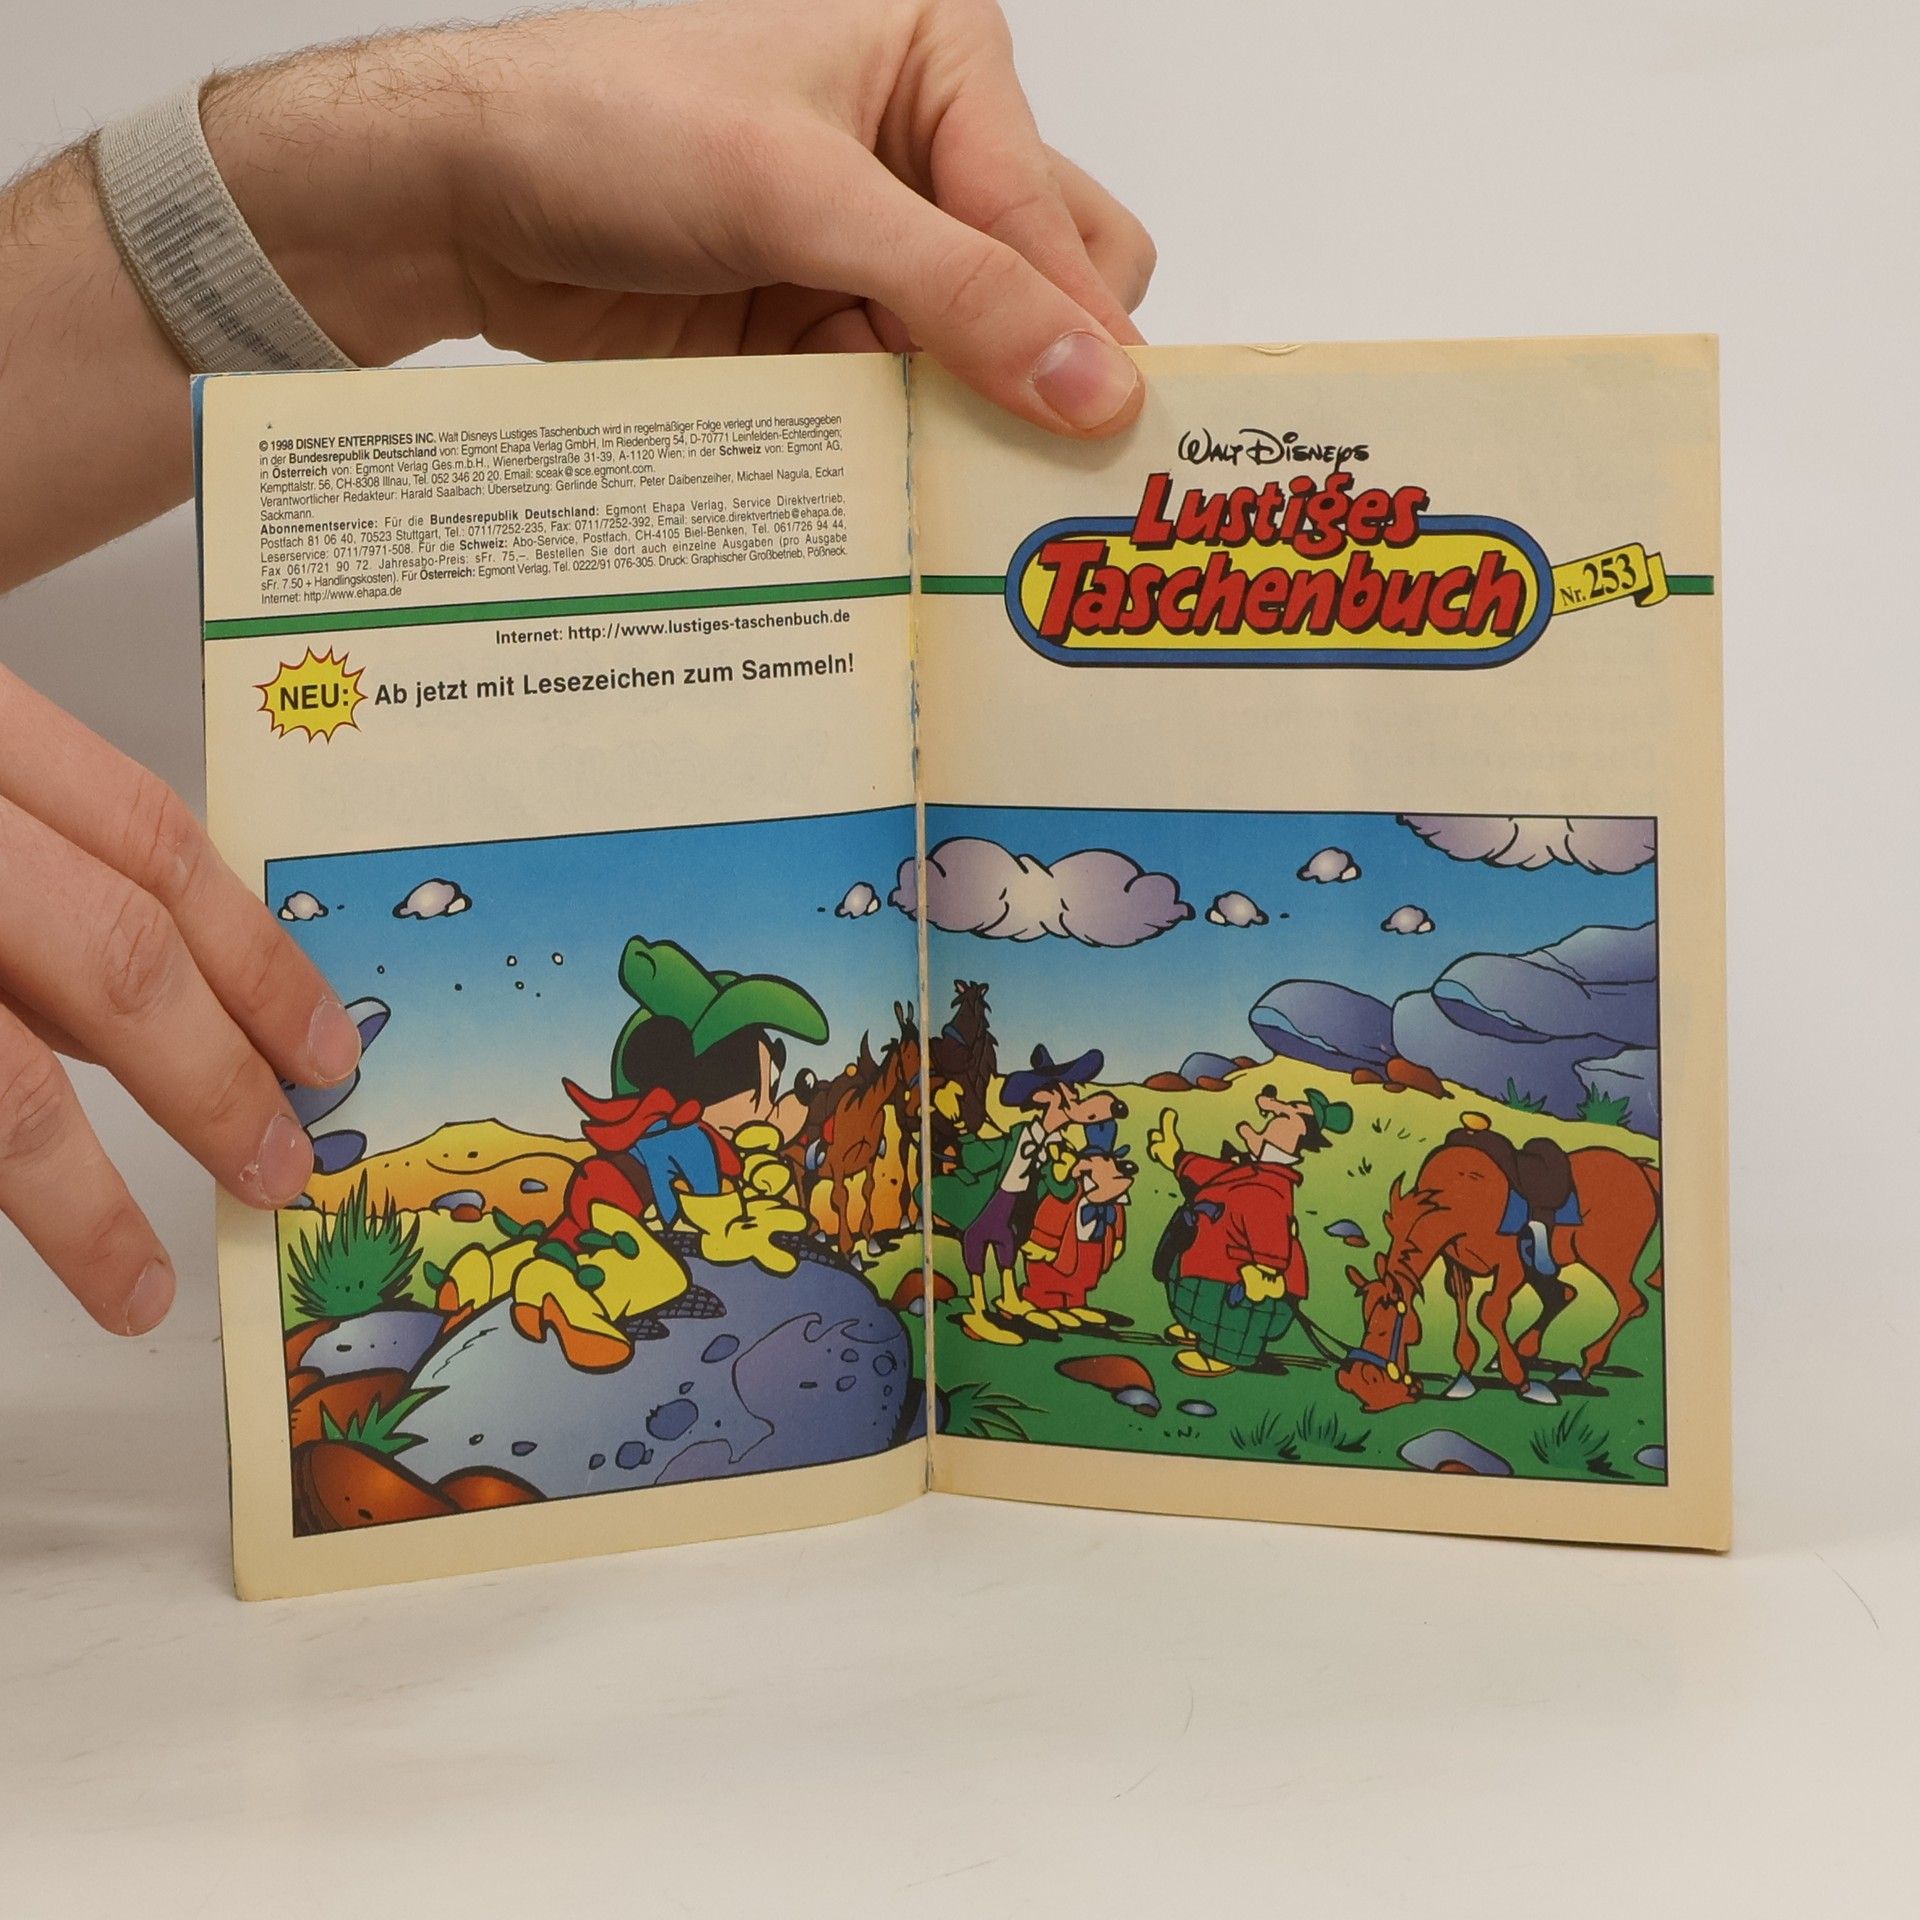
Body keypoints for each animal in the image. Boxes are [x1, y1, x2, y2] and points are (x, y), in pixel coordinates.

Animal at [1368, 1143, 1662, 1405]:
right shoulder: (1455, 1262)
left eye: (1385, 1328)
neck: (1456, 1198)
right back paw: (1522, 1351)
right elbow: (1462, 1305)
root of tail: (1640, 1167)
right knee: (1563, 1294)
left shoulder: (1512, 1265)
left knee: (1632, 1302)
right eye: (1366, 1320)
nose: (1366, 1384)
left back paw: (1579, 1370)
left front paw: (1524, 1383)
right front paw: (1464, 1378)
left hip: (1605, 1257)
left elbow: (1490, 1310)